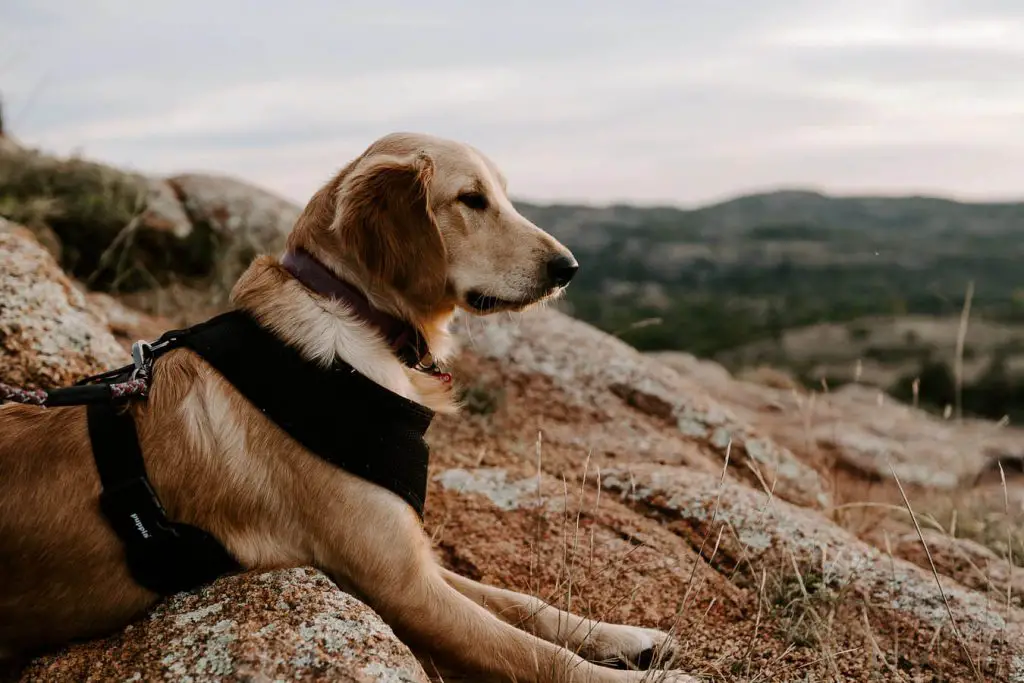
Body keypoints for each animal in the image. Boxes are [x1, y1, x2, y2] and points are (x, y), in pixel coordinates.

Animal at [2, 133, 688, 683]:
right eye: (471, 200)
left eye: (502, 194)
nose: (568, 267)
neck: (358, 318)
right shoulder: (403, 589)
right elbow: (534, 654)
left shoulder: (409, 557)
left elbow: (523, 604)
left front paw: (626, 636)